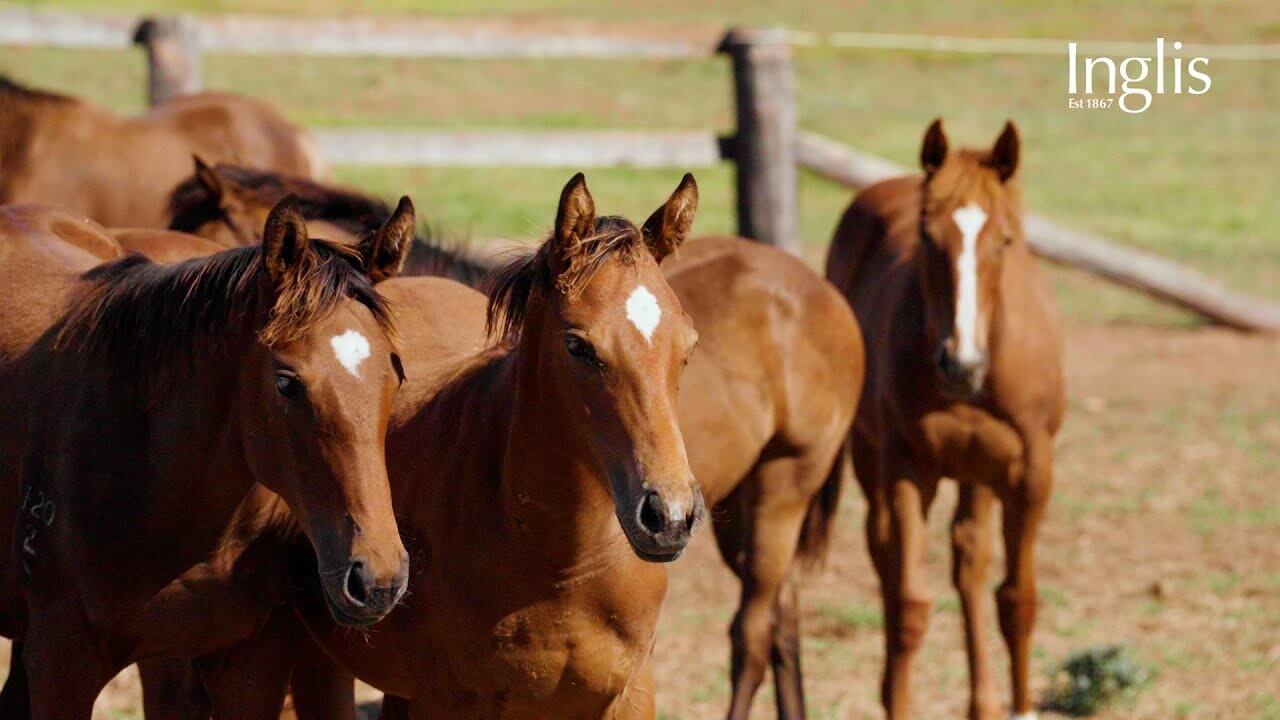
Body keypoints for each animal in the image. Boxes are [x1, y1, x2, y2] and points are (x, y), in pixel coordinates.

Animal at [157, 169, 860, 717]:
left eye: (687, 347)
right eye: (578, 345)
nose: (669, 516)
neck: (561, 564)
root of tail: (820, 289)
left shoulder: (628, 697)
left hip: (777, 492)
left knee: (759, 628)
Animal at [824, 119, 1064, 717]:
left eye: (1005, 240)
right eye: (928, 239)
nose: (962, 362)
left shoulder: (1030, 473)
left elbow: (1017, 600)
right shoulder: (910, 470)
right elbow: (910, 604)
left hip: (978, 471)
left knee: (969, 562)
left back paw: (985, 702)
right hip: (874, 463)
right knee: (888, 560)